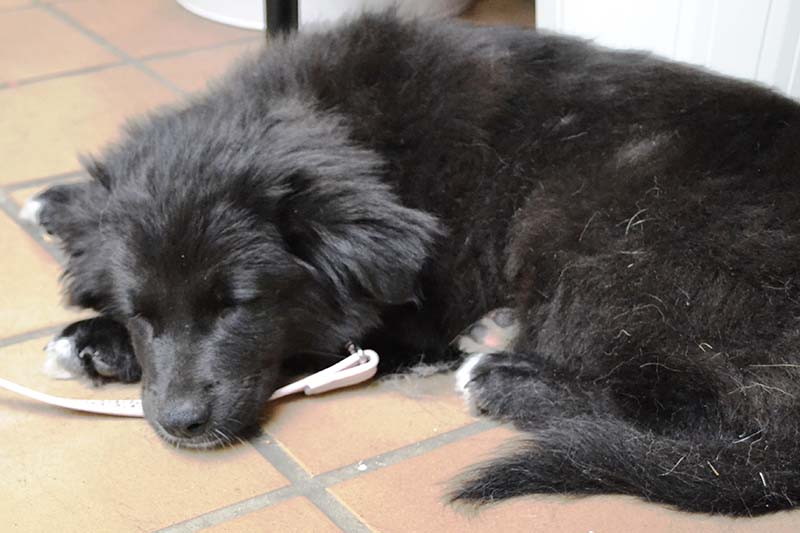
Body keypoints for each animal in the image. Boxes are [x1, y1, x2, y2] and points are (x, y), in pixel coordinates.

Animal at [21, 13, 800, 516]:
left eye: (238, 305)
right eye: (140, 311)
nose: (180, 425)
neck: (344, 128)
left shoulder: (412, 310)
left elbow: (325, 344)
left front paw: (90, 341)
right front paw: (59, 205)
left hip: (598, 235)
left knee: (705, 412)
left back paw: (501, 372)